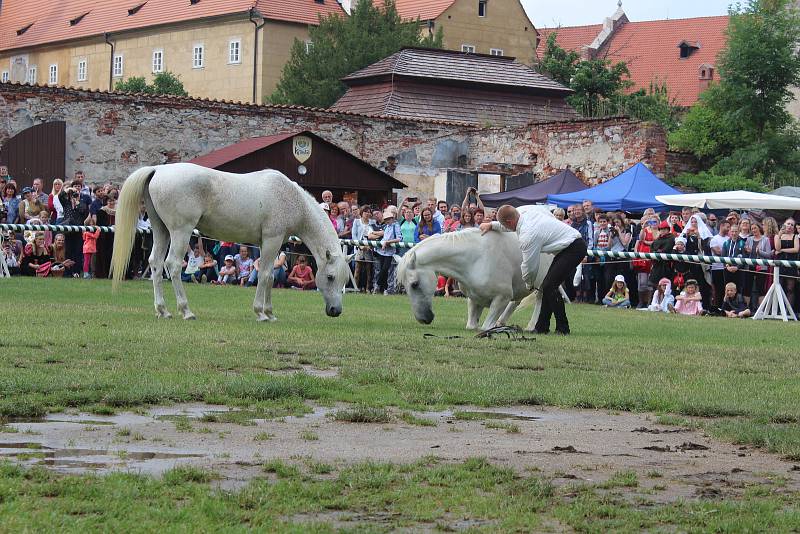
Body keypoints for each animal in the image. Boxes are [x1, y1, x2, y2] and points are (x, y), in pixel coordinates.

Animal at [112, 163, 350, 322]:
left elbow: (271, 276)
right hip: (181, 231)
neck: (291, 198)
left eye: (345, 280)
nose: (335, 311)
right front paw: (261, 313)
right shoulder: (271, 240)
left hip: (162, 230)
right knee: (173, 265)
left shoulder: (270, 243)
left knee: (156, 263)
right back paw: (186, 311)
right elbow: (264, 275)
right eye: (330, 277)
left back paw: (163, 310)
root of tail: (157, 170)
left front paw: (270, 313)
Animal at [396, 229, 564, 332]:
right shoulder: (474, 298)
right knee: (516, 301)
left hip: (541, 284)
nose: (423, 319)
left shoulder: (502, 298)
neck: (475, 258)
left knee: (539, 300)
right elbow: (472, 326)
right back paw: (502, 321)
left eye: (415, 284)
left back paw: (531, 326)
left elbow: (485, 328)